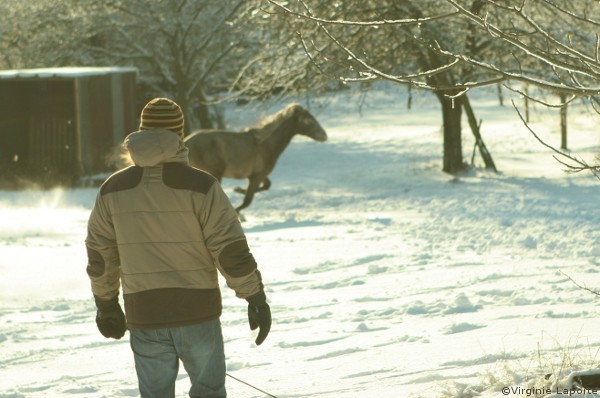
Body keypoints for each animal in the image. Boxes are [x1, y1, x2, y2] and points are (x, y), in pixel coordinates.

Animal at [186, 104, 330, 213]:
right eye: (309, 118)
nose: (324, 135)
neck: (265, 144)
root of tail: (187, 142)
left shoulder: (259, 175)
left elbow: (266, 186)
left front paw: (239, 190)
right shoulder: (256, 177)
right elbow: (248, 201)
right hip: (214, 173)